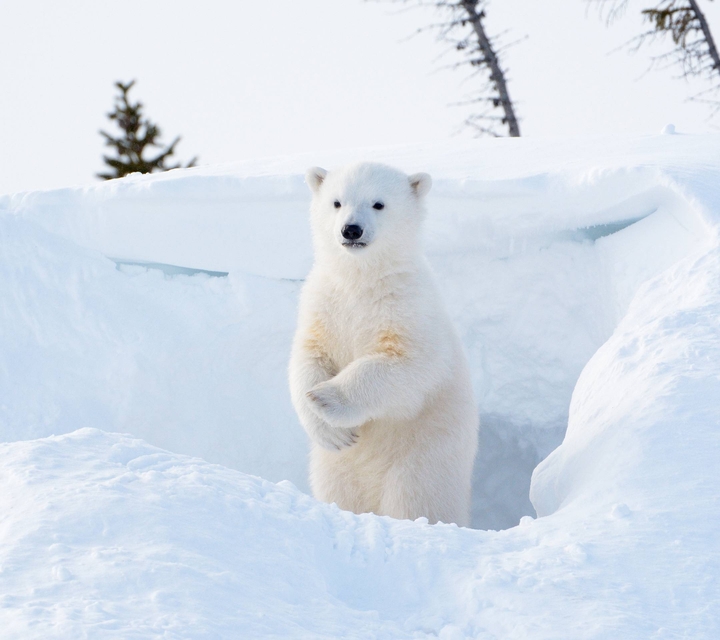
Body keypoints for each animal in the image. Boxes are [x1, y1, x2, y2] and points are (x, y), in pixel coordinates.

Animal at [288, 162, 478, 526]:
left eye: (378, 204)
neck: (361, 280)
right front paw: (331, 429)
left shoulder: (408, 309)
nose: (351, 230)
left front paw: (326, 399)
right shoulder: (323, 304)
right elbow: (308, 355)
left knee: (416, 500)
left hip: (422, 459)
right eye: (337, 202)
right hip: (335, 470)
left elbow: (407, 366)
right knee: (339, 491)